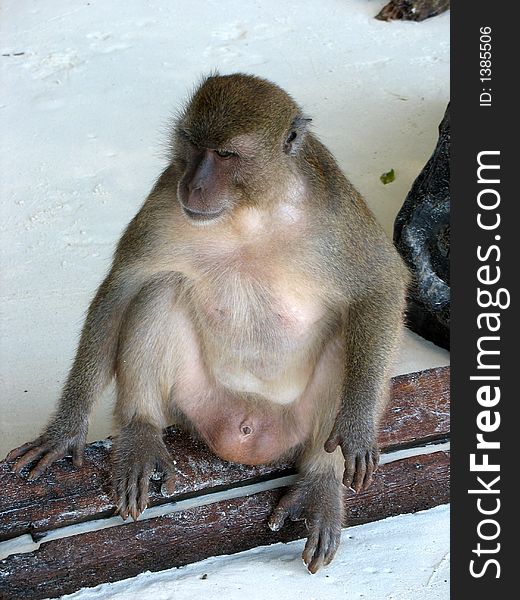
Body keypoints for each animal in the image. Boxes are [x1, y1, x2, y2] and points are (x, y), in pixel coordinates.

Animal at [6, 72, 408, 576]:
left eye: (226, 154)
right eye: (194, 146)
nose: (193, 184)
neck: (249, 212)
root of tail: (244, 436)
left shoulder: (334, 212)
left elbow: (380, 287)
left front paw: (354, 428)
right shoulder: (165, 197)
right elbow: (124, 285)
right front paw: (64, 432)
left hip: (289, 425)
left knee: (344, 339)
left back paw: (320, 480)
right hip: (196, 405)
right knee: (160, 289)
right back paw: (141, 430)